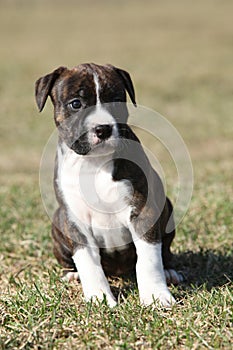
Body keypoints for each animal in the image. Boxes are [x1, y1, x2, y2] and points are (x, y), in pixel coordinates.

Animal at [35, 63, 183, 306]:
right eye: (76, 103)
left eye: (115, 100)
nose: (102, 129)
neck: (95, 163)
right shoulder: (74, 219)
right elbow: (88, 263)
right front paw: (99, 298)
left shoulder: (142, 209)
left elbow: (148, 259)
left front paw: (156, 296)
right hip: (58, 220)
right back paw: (73, 274)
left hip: (166, 206)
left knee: (164, 252)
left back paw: (169, 272)